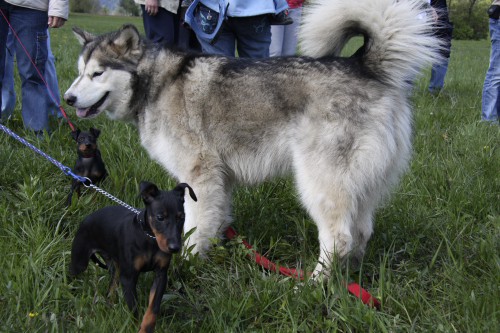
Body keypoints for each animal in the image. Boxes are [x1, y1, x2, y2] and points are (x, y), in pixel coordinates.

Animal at [69, 182, 197, 332]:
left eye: (181, 218)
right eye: (160, 217)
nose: (175, 248)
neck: (149, 238)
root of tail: (86, 219)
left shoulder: (161, 275)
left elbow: (153, 307)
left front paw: (146, 328)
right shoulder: (128, 278)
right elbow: (134, 310)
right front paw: (136, 327)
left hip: (115, 268)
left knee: (111, 288)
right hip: (80, 262)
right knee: (72, 275)